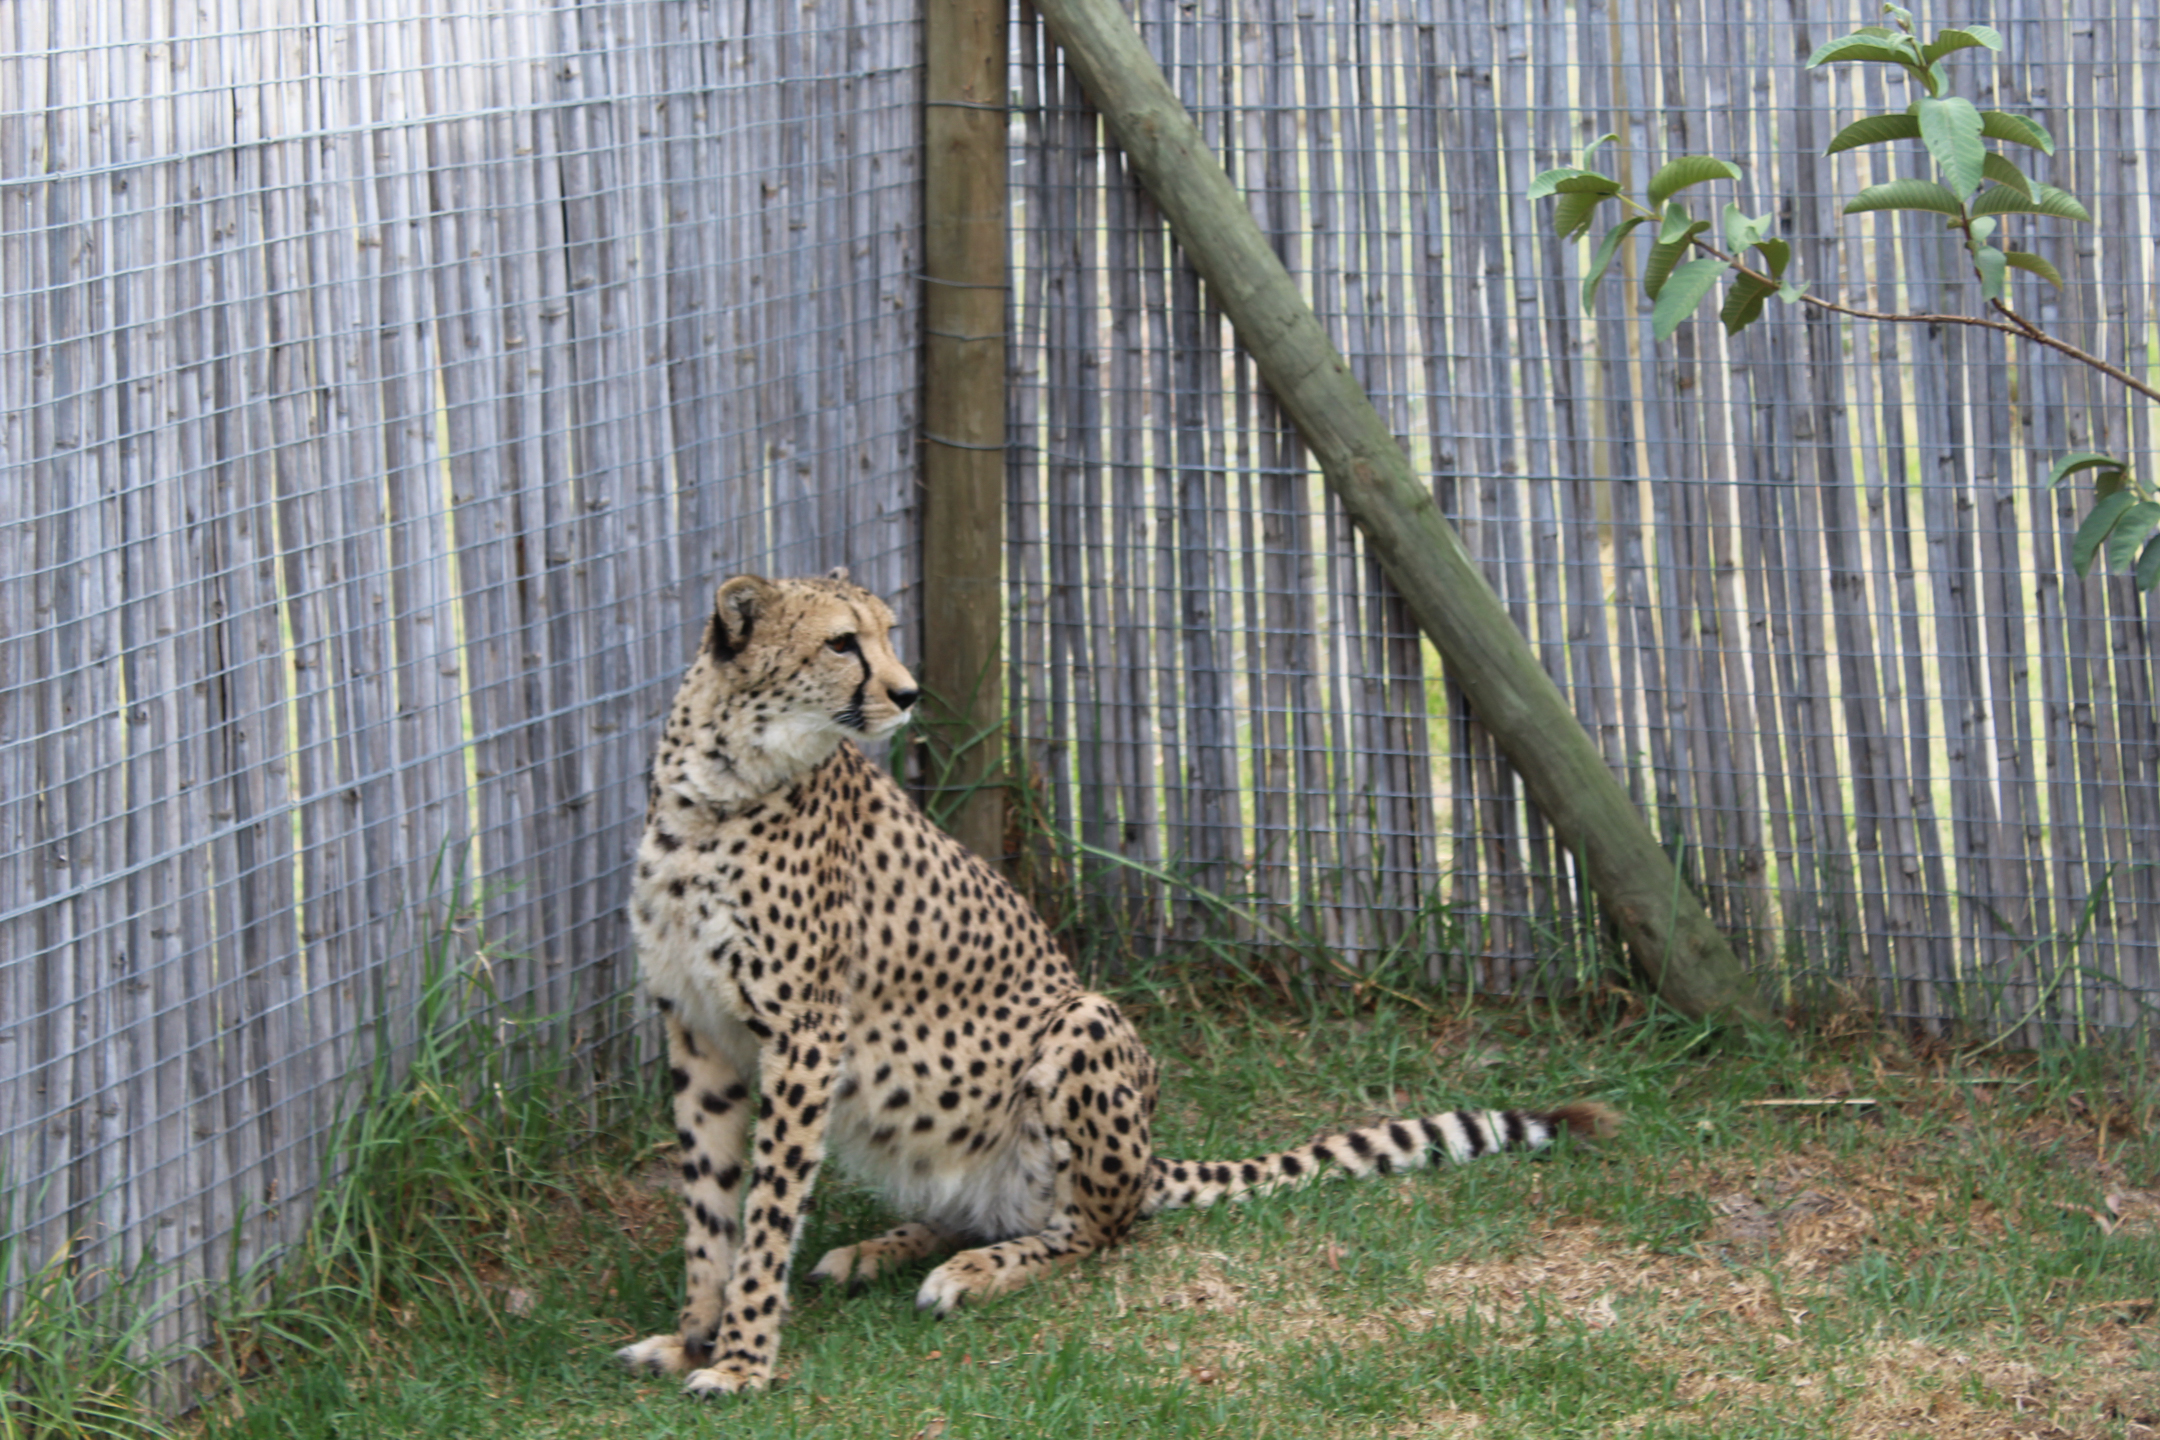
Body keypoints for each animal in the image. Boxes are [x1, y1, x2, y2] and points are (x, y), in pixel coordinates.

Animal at [616, 569, 1619, 1398]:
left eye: (889, 633)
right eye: (840, 643)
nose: (905, 693)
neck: (720, 786)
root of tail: (1149, 1156)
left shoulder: (805, 1038)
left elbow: (765, 1212)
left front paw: (742, 1360)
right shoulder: (697, 1033)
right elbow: (712, 1206)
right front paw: (694, 1336)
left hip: (1083, 1021)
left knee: (1097, 1228)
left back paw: (971, 1272)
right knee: (980, 1208)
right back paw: (877, 1250)